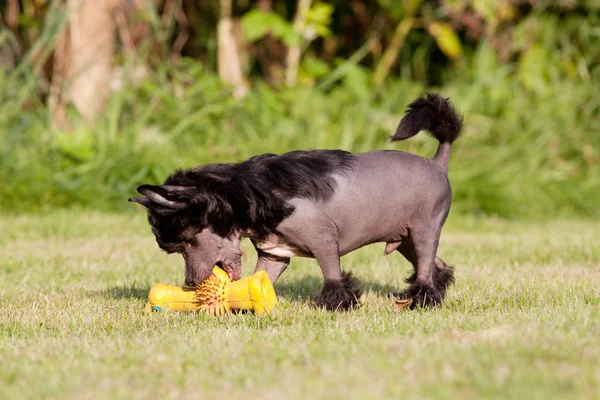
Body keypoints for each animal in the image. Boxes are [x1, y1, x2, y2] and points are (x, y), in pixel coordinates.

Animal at [130, 93, 464, 310]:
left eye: (188, 241)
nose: (188, 282)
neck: (248, 196)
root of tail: (438, 162)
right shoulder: (274, 255)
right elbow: (262, 277)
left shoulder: (324, 241)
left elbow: (333, 276)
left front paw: (335, 304)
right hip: (406, 238)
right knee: (436, 266)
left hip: (424, 230)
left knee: (425, 270)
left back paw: (422, 300)